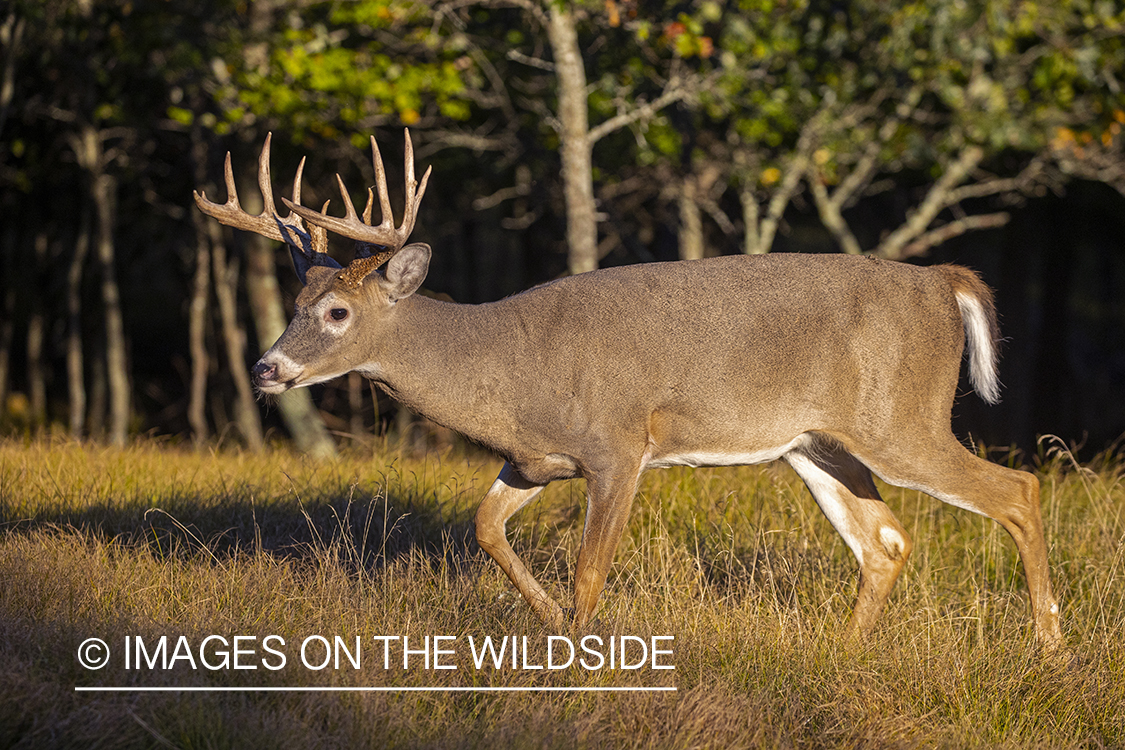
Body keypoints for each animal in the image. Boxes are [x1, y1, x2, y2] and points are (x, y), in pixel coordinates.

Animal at [198, 132, 1066, 652]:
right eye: (297, 301)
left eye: (337, 312)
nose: (267, 369)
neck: (505, 366)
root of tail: (942, 281)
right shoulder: (534, 459)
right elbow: (484, 528)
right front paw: (550, 627)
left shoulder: (619, 444)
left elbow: (589, 569)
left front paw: (577, 650)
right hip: (817, 444)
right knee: (886, 543)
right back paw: (842, 653)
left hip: (901, 418)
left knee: (1017, 490)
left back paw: (1049, 647)